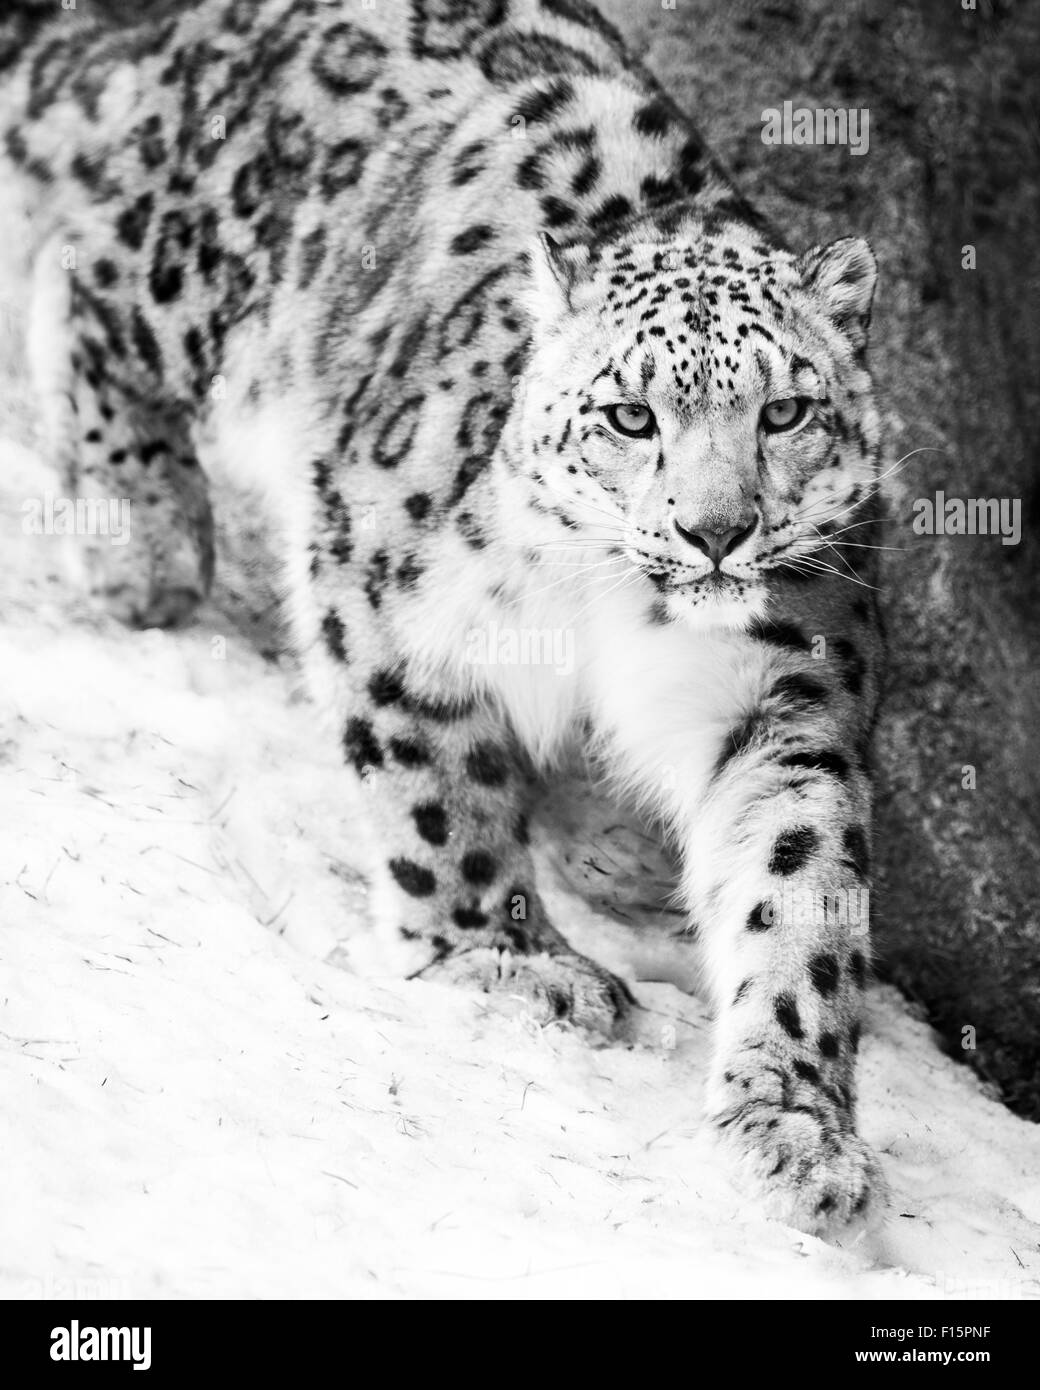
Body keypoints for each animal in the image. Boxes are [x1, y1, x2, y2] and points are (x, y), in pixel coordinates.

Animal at [1, 0, 886, 1236]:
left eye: (787, 411)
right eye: (629, 416)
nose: (716, 530)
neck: (621, 612)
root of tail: (206, 29)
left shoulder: (783, 697)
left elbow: (797, 882)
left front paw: (795, 1127)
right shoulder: (385, 583)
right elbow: (439, 788)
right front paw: (504, 959)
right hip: (200, 264)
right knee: (89, 280)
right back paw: (145, 543)